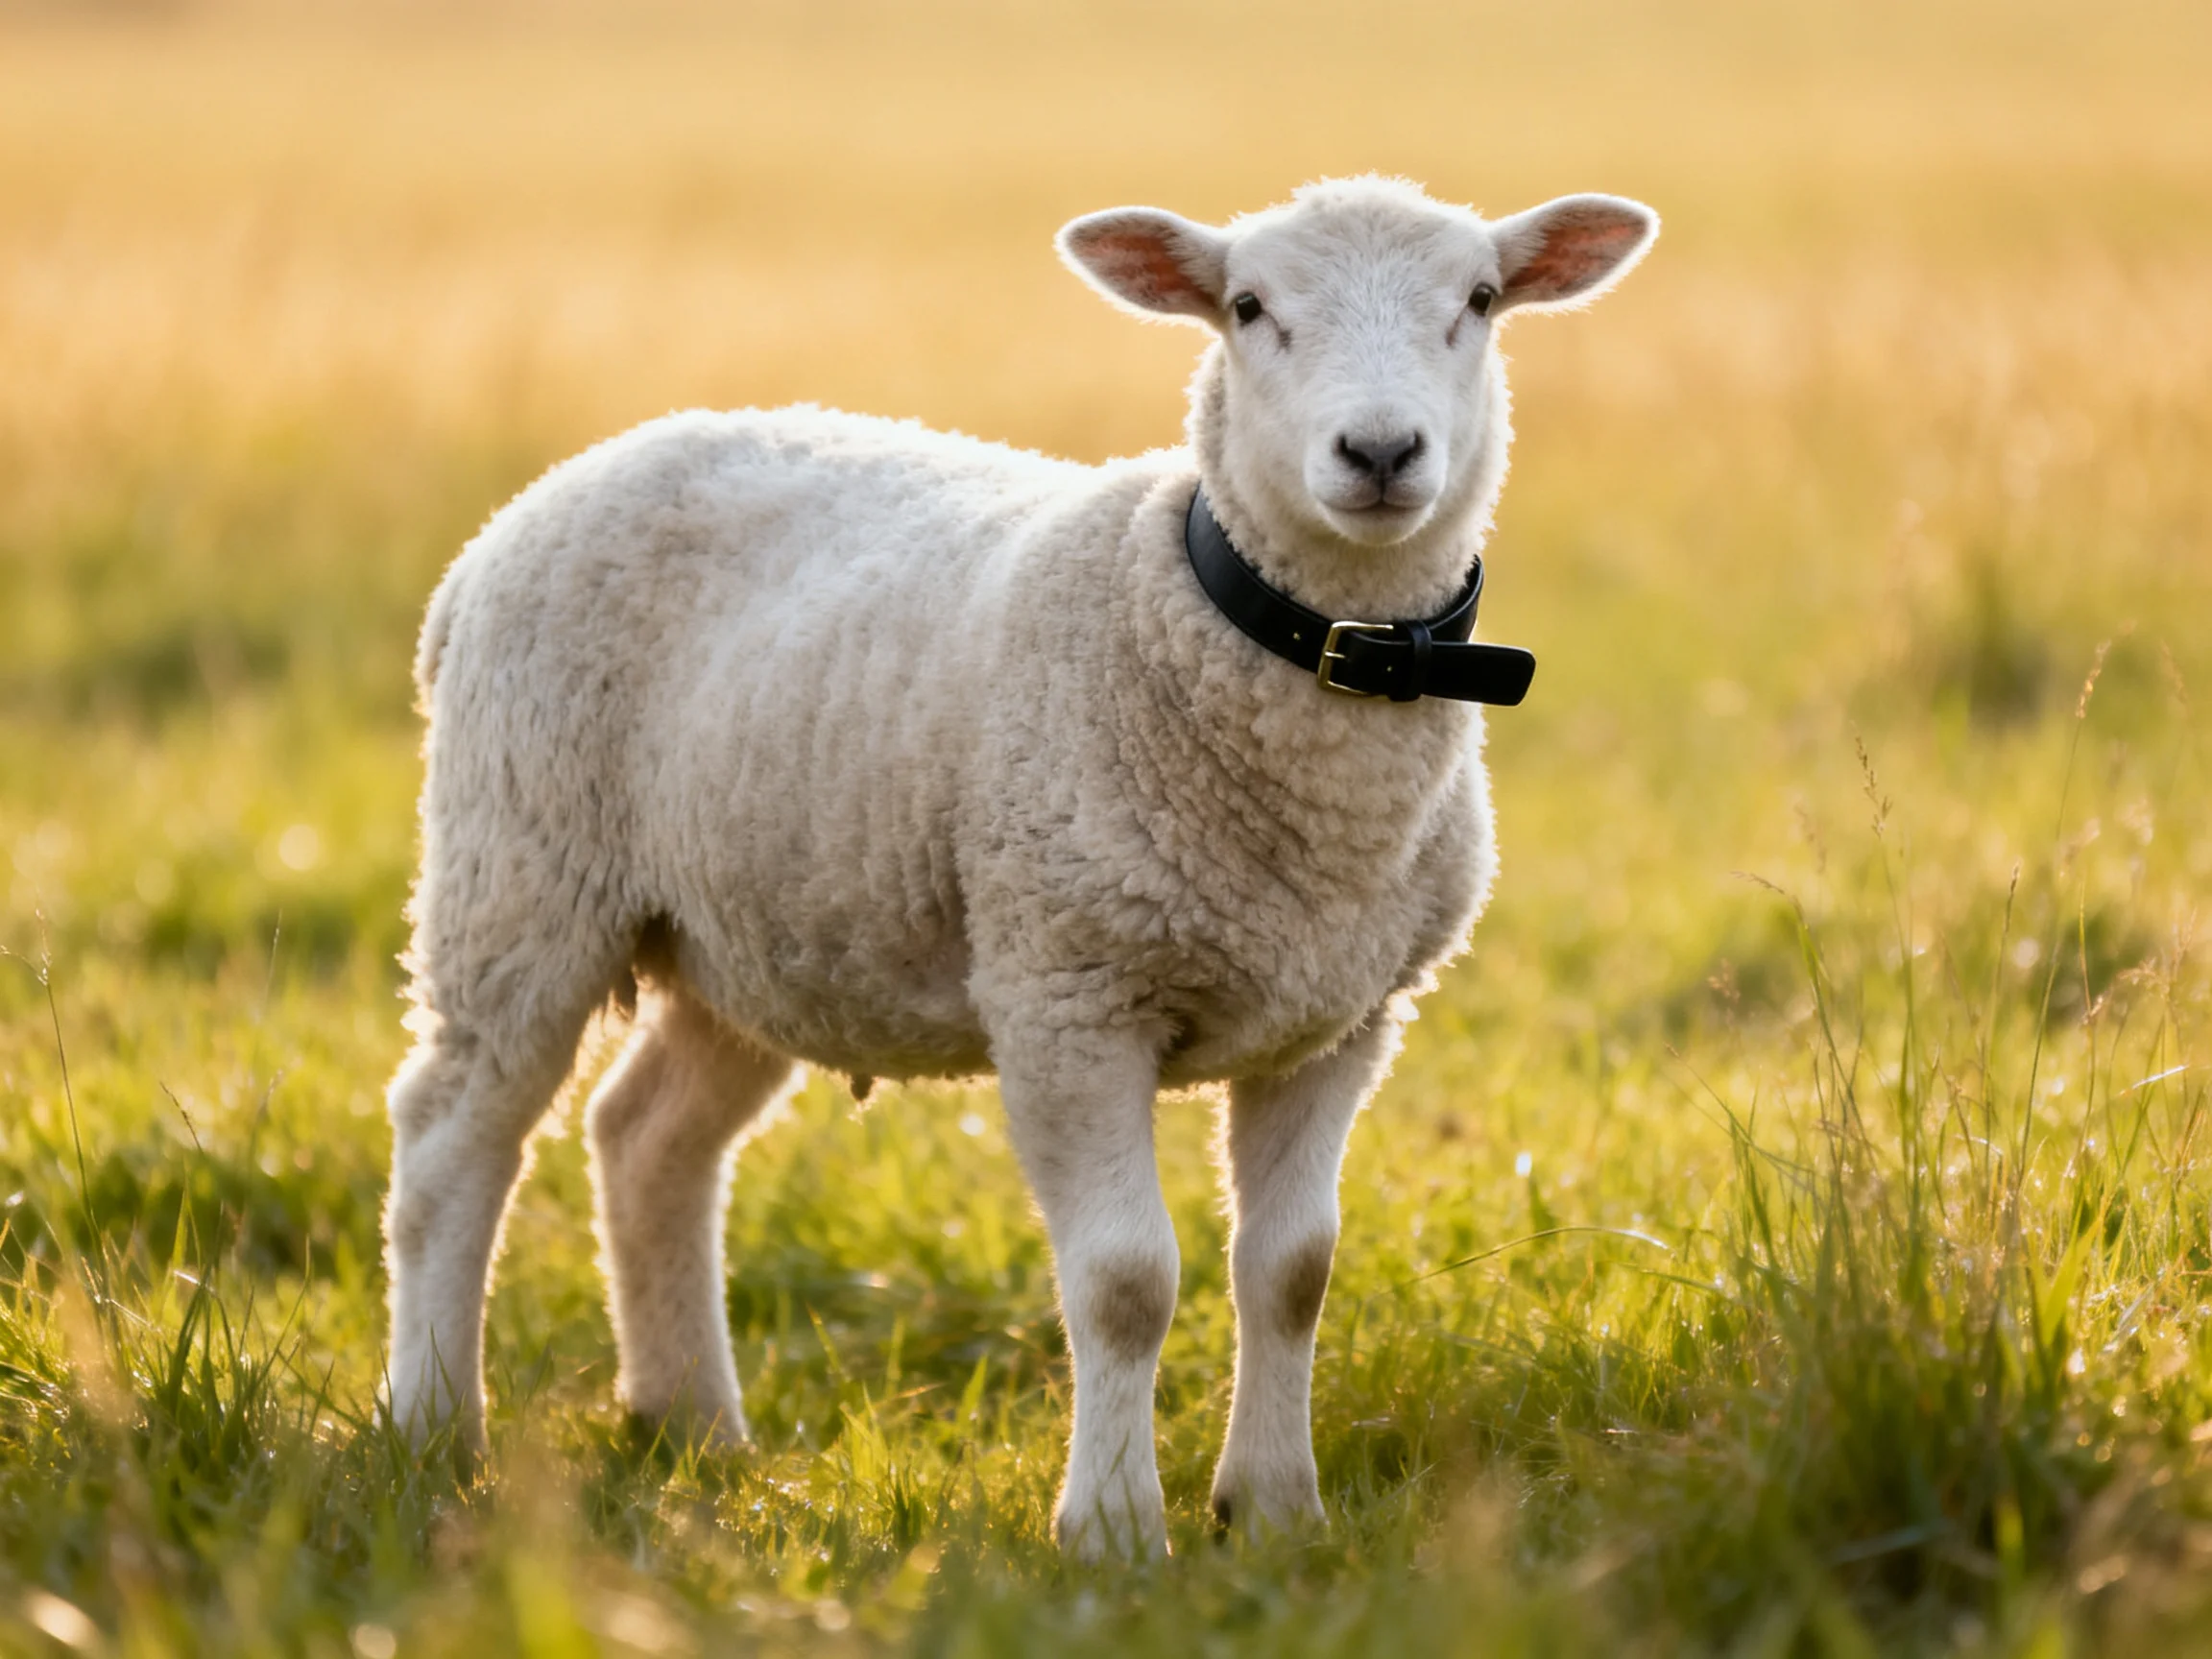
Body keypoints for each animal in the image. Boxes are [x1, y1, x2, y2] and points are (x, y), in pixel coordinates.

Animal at [382, 174, 1657, 1560]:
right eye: (1247, 307)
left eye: (1478, 300)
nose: (1379, 455)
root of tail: (502, 530)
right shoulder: (1066, 993)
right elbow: (1125, 1282)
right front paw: (1112, 1530)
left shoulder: (1344, 1018)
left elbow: (1293, 1274)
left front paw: (1274, 1510)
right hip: (519, 868)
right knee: (451, 1142)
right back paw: (434, 1427)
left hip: (759, 926)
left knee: (647, 1135)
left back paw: (695, 1428)